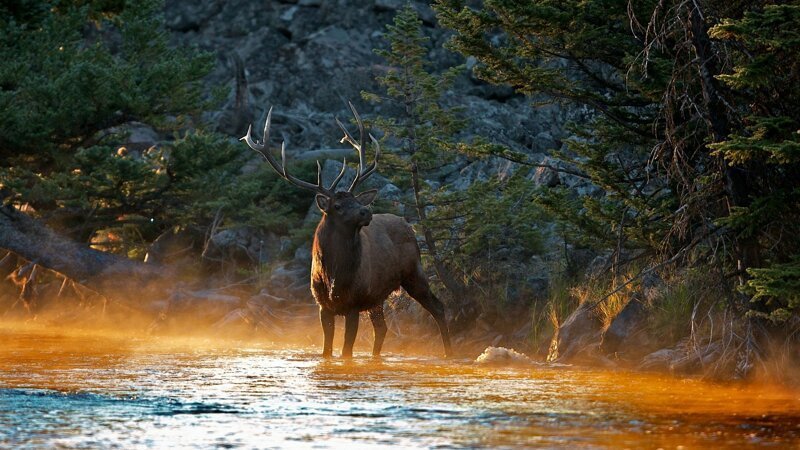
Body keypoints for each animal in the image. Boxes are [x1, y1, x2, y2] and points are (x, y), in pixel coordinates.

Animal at [241, 102, 454, 358]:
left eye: (356, 199)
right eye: (338, 206)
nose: (366, 211)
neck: (334, 274)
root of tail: (408, 224)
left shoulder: (354, 303)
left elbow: (346, 352)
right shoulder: (323, 306)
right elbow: (327, 351)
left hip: (414, 272)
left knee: (438, 307)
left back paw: (450, 353)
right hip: (377, 297)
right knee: (382, 328)